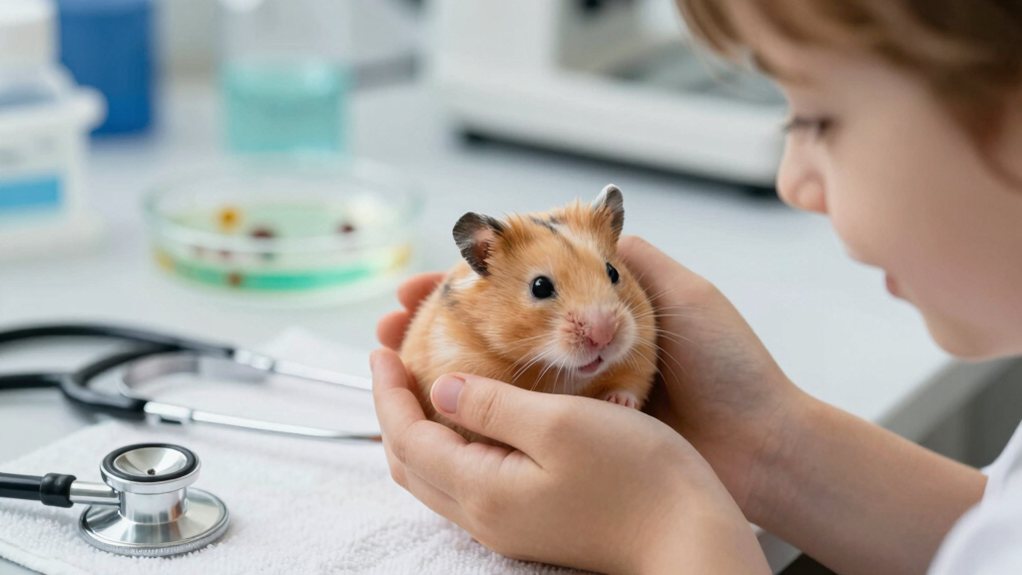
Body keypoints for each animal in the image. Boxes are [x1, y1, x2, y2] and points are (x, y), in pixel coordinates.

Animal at [399, 185, 658, 443]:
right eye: (540, 286)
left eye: (613, 272)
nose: (604, 335)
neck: (557, 371)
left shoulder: (643, 349)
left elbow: (629, 385)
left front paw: (619, 402)